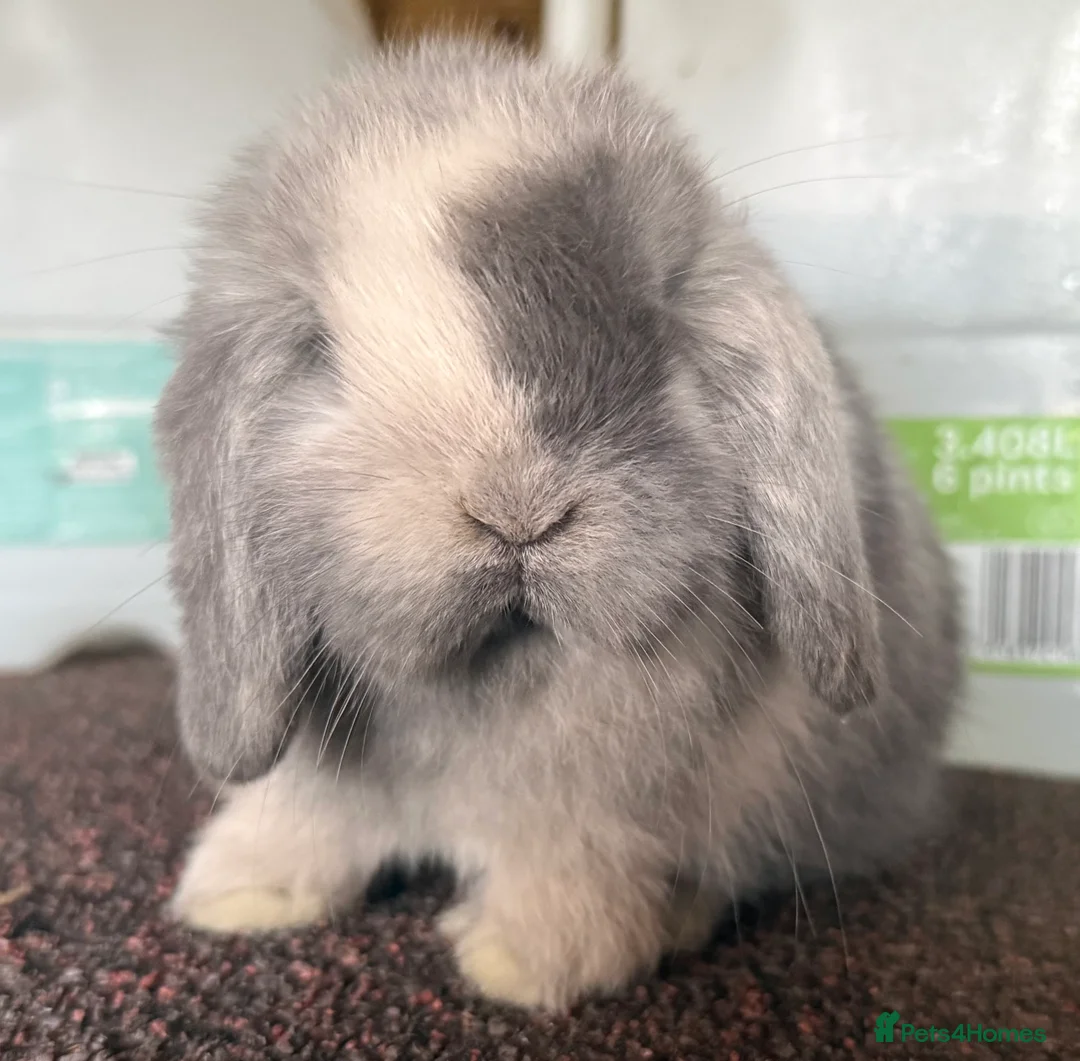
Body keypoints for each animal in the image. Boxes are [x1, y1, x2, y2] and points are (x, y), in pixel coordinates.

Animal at [154, 36, 964, 1010]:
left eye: (661, 320)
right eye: (318, 348)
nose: (518, 507)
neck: (488, 674)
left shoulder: (604, 797)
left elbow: (567, 857)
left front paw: (523, 962)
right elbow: (306, 814)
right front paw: (237, 894)